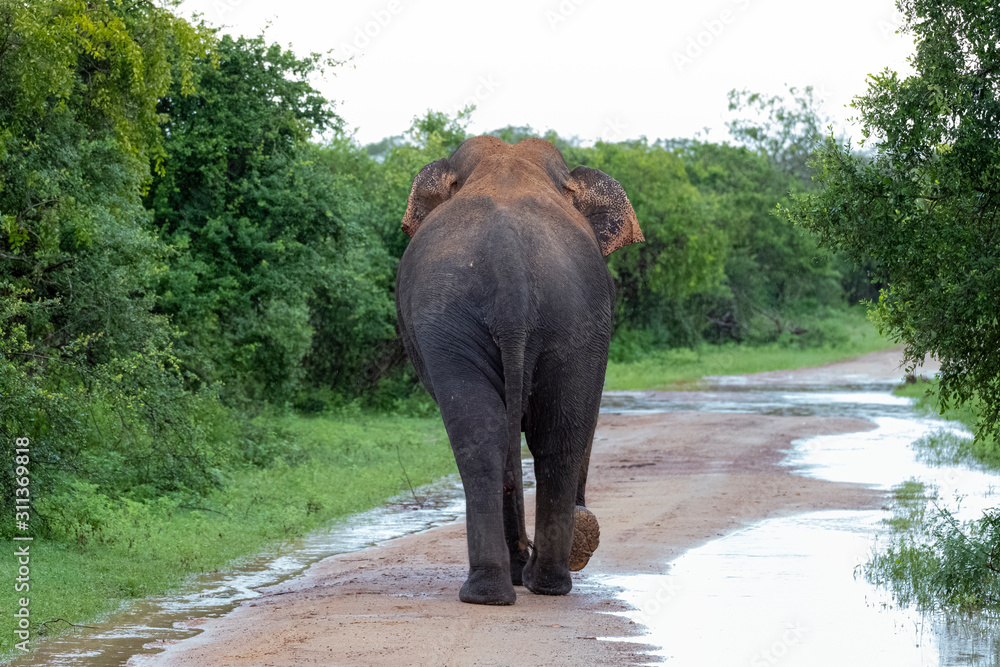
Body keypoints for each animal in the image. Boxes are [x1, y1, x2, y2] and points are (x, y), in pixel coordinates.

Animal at [395, 135, 643, 605]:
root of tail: (509, 269)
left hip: (540, 317)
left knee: (506, 440)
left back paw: (508, 588)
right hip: (554, 316)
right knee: (539, 438)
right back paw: (524, 585)